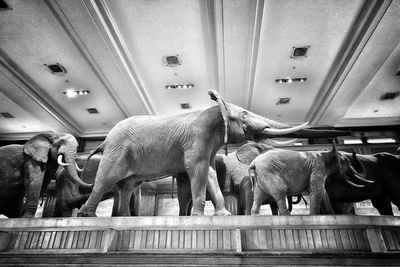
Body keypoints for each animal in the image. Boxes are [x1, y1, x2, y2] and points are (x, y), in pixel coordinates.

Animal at [77, 90, 350, 218]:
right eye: (245, 115)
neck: (216, 108)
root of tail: (103, 141)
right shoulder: (198, 139)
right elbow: (197, 169)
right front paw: (199, 217)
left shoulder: (208, 144)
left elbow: (207, 171)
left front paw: (224, 215)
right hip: (117, 151)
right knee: (105, 180)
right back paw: (86, 215)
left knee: (126, 185)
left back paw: (123, 217)